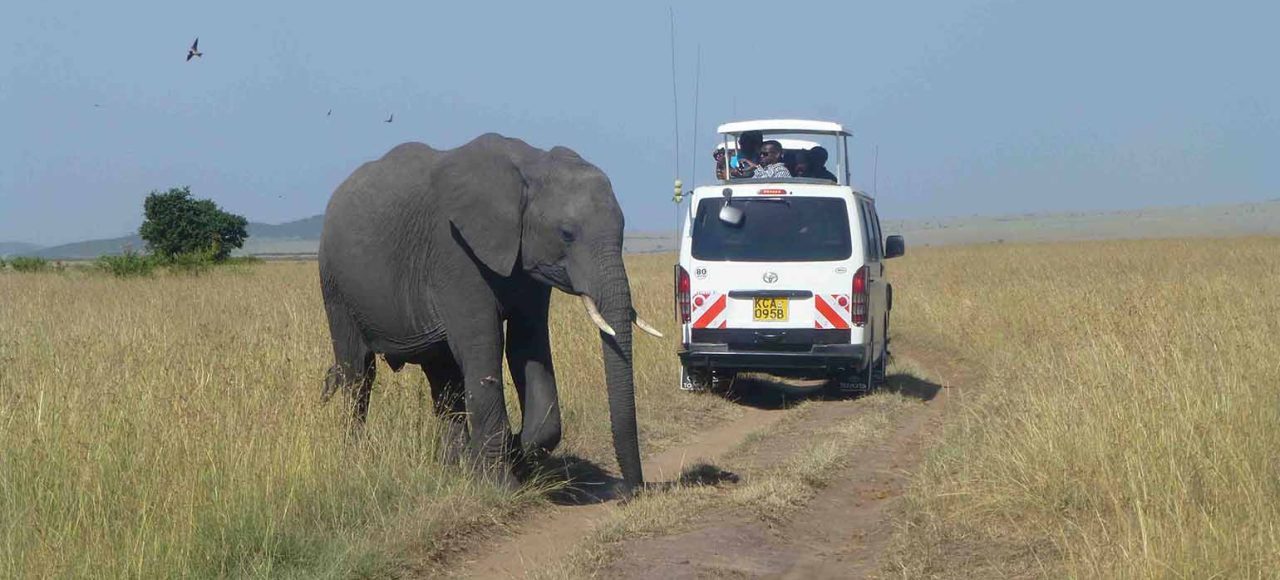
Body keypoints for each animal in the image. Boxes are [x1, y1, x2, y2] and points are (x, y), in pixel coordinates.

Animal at [317, 133, 660, 494]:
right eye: (567, 234)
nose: (630, 490)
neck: (530, 165)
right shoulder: (455, 252)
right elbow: (483, 347)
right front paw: (501, 484)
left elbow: (527, 347)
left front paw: (515, 453)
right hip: (335, 283)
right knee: (358, 372)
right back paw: (354, 456)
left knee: (443, 378)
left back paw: (454, 467)